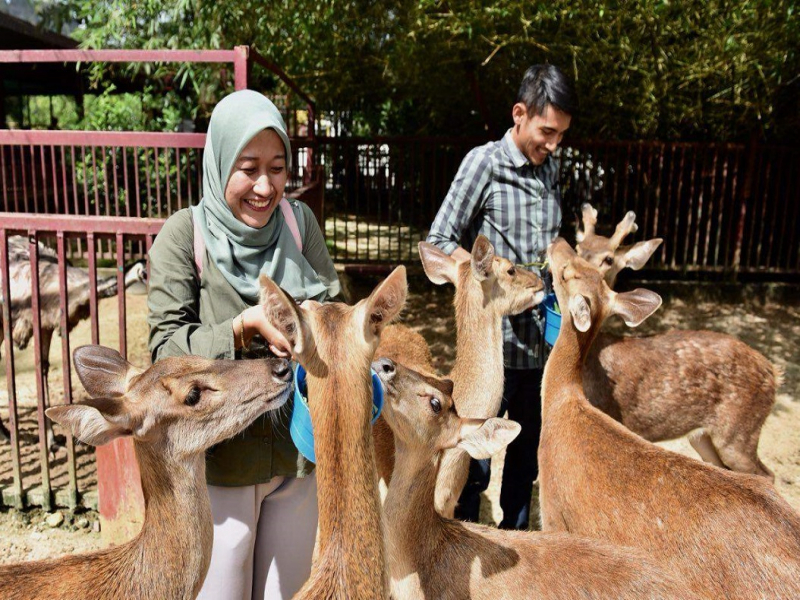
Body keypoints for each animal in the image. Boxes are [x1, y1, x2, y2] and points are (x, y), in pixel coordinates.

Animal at [536, 238, 800, 600]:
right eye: (580, 258)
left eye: (566, 272)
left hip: (737, 438)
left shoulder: (553, 511)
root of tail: (776, 372)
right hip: (704, 438)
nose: (556, 241)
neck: (563, 401)